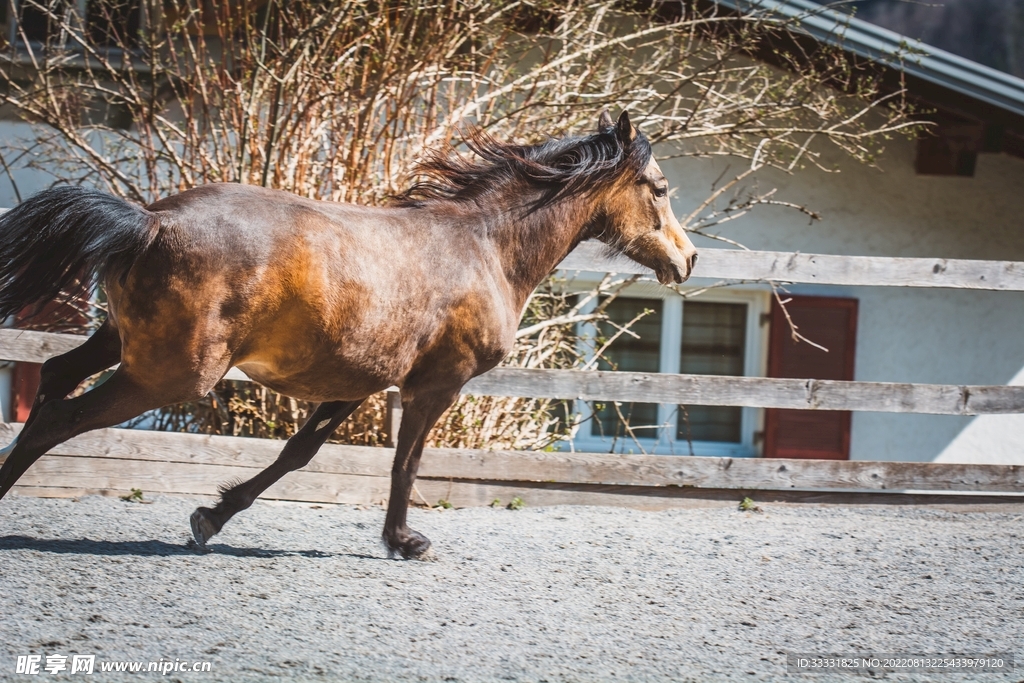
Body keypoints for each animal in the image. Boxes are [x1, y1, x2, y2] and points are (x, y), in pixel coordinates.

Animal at [0, 110, 697, 559]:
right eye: (660, 189)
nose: (687, 261)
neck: (485, 247)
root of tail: (150, 222)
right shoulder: (434, 386)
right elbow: (406, 462)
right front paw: (406, 542)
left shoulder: (358, 383)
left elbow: (297, 454)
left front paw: (210, 518)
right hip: (169, 374)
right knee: (58, 417)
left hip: (121, 342)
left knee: (55, 377)